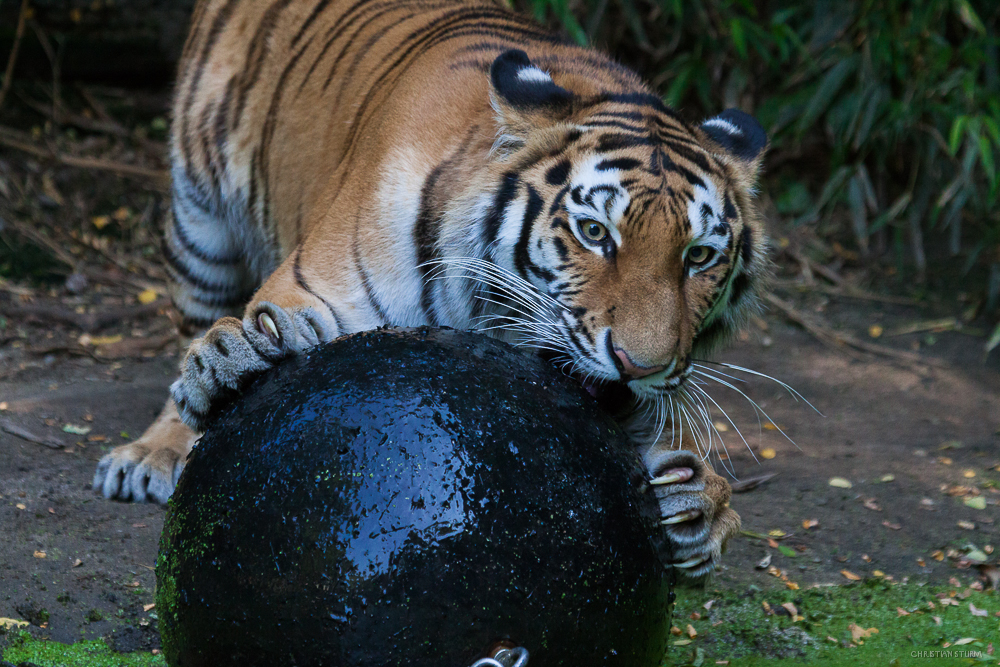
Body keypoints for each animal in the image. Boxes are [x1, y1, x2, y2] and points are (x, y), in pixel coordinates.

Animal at [92, 0, 764, 580]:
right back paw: (152, 454)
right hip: (199, 221)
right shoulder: (312, 283)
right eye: (595, 233)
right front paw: (232, 364)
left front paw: (701, 506)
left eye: (699, 256)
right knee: (189, 333)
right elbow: (260, 331)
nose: (638, 365)